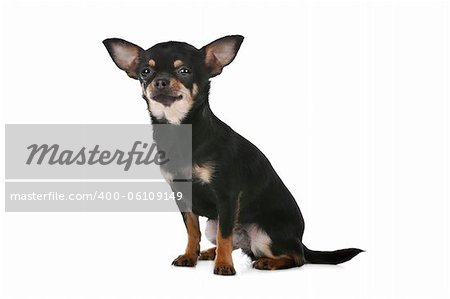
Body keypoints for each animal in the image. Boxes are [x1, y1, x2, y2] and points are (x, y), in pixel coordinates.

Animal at [103, 35, 362, 276]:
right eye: (145, 71)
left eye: (184, 71)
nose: (159, 81)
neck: (179, 130)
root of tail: (300, 239)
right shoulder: (182, 196)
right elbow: (193, 231)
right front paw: (190, 256)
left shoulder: (227, 196)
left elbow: (224, 235)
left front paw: (225, 265)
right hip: (215, 224)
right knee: (234, 243)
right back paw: (209, 252)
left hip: (265, 236)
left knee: (297, 258)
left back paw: (268, 262)